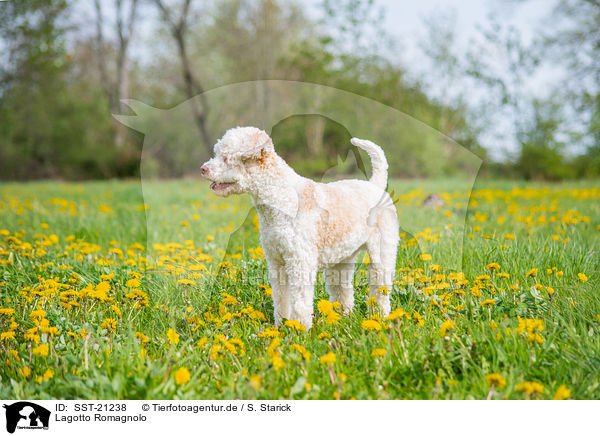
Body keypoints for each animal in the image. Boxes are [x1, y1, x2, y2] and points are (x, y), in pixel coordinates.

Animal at [202, 126, 398, 328]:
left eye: (227, 157)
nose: (203, 169)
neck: (281, 199)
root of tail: (376, 186)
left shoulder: (300, 262)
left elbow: (300, 302)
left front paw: (300, 329)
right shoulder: (277, 262)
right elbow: (282, 299)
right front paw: (282, 326)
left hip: (382, 253)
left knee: (381, 291)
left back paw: (380, 318)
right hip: (341, 261)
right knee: (343, 293)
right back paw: (343, 319)